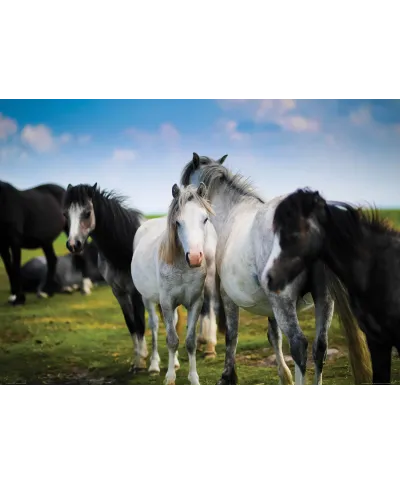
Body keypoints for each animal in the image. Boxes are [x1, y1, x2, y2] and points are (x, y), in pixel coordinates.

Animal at [131, 182, 219, 386]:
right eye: (178, 223)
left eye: (205, 219)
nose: (194, 257)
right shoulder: (167, 303)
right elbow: (171, 340)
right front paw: (170, 378)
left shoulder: (195, 303)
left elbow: (189, 341)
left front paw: (194, 379)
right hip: (147, 299)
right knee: (155, 326)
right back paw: (154, 365)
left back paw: (176, 363)